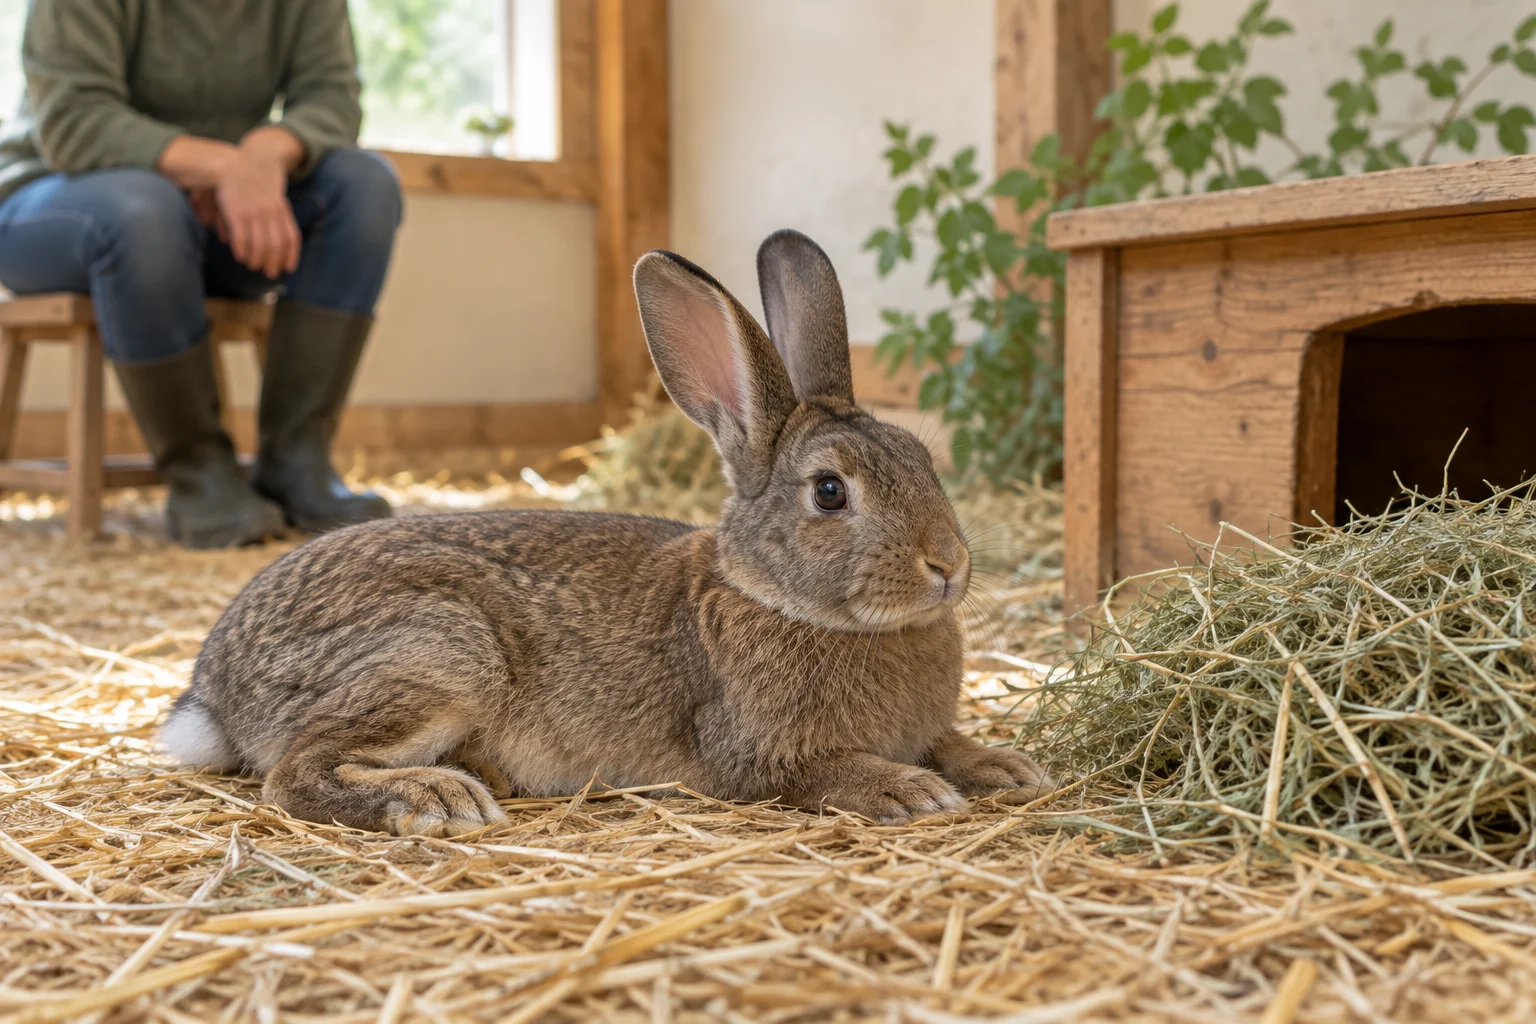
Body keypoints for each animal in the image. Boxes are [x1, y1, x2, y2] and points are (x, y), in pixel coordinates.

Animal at [159, 229, 1055, 836]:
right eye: (831, 493)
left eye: (922, 459)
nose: (949, 565)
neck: (777, 599)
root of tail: (214, 690)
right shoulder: (752, 753)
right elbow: (825, 773)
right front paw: (908, 790)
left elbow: (950, 743)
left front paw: (1006, 768)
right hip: (436, 649)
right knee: (292, 774)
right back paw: (432, 796)